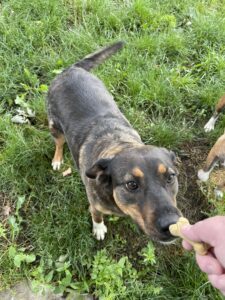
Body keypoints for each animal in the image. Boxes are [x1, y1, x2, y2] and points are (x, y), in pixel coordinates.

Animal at [47, 42, 181, 243]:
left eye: (170, 177)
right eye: (131, 185)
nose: (171, 224)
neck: (120, 144)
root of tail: (71, 68)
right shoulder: (94, 204)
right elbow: (96, 216)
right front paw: (99, 228)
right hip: (54, 125)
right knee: (58, 142)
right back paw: (57, 159)